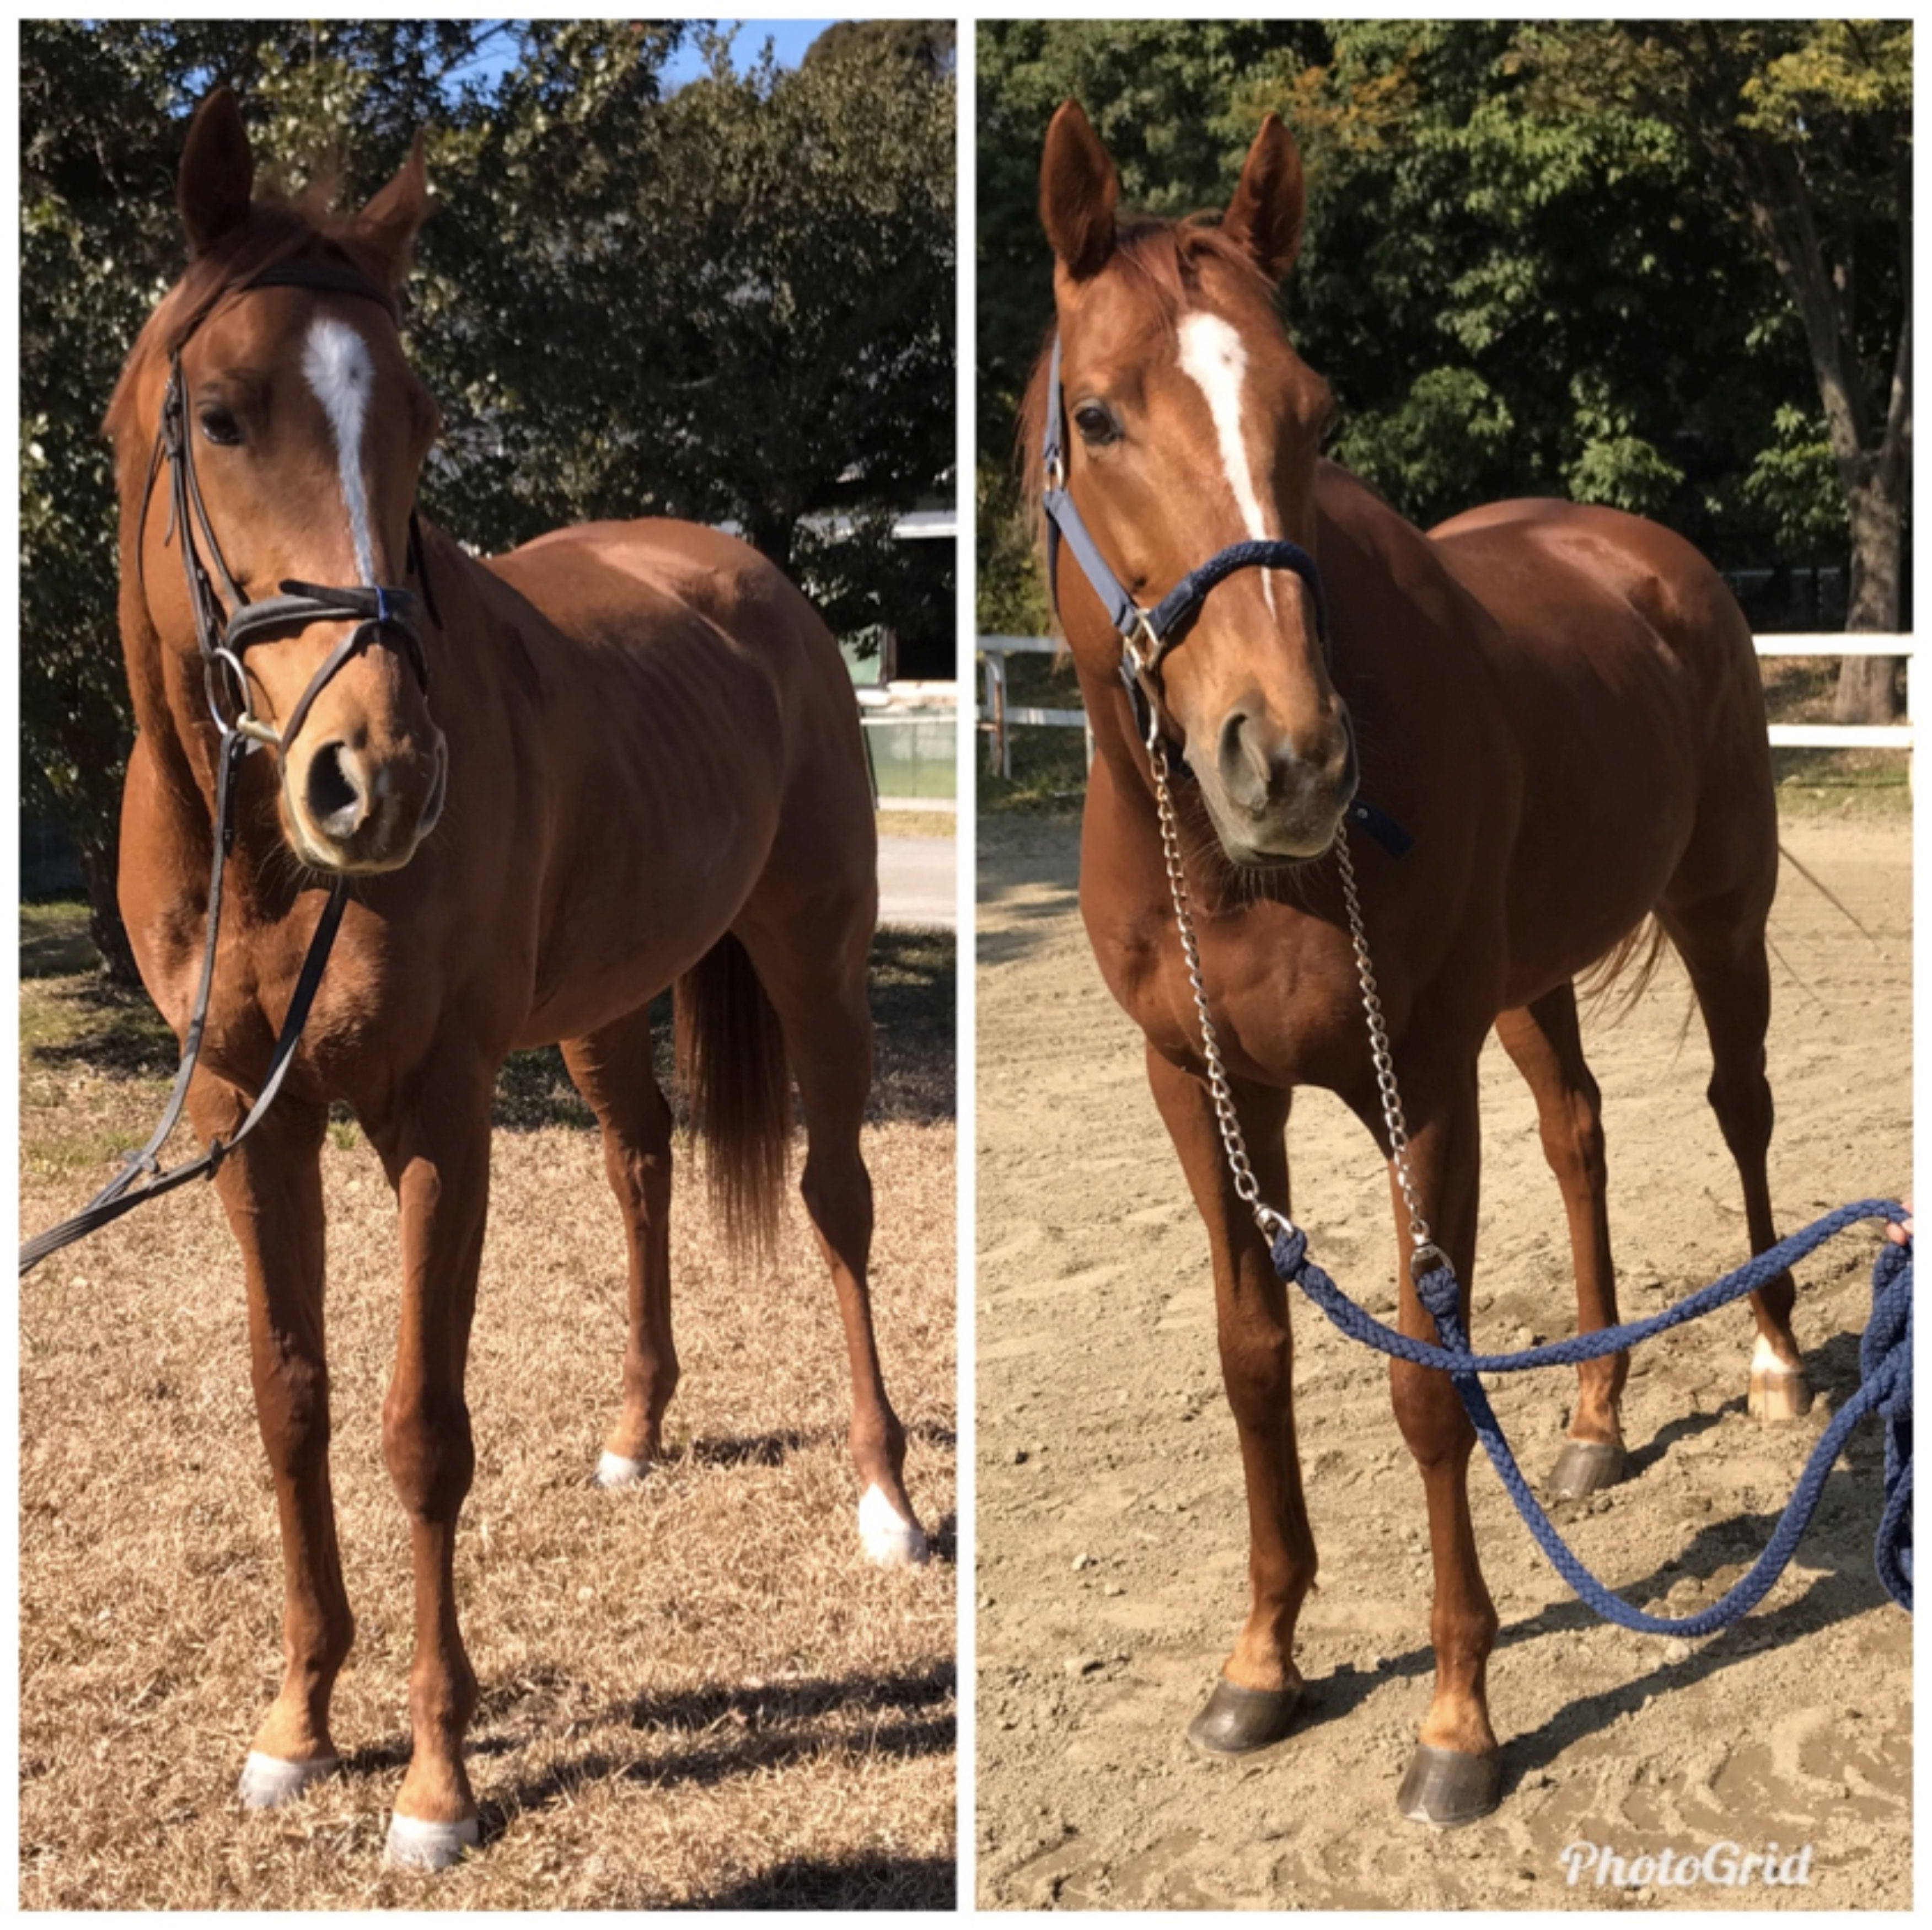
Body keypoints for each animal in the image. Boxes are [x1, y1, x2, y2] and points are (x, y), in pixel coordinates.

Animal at [89, 94, 927, 1870]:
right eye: (221, 414)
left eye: (417, 416)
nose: (383, 777)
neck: (259, 854)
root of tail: (754, 581)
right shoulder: (246, 1120)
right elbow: (289, 1403)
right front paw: (297, 1724)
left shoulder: (437, 1117)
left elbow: (420, 1430)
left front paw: (433, 1781)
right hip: (608, 1007)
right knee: (642, 1162)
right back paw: (635, 1432)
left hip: (814, 964)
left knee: (834, 1201)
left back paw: (887, 1496)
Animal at [1035, 101, 1800, 1824]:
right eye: (1098, 416)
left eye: (1313, 410)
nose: (1288, 758)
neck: (1242, 870)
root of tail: (1654, 557)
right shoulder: (1200, 1084)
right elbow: (1254, 1359)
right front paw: (1263, 1661)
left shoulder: (1420, 1084)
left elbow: (1425, 1383)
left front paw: (1457, 1720)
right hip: (1531, 990)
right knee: (1580, 1133)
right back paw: (1590, 1422)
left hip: (1719, 919)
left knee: (1739, 1113)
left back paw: (1782, 1368)